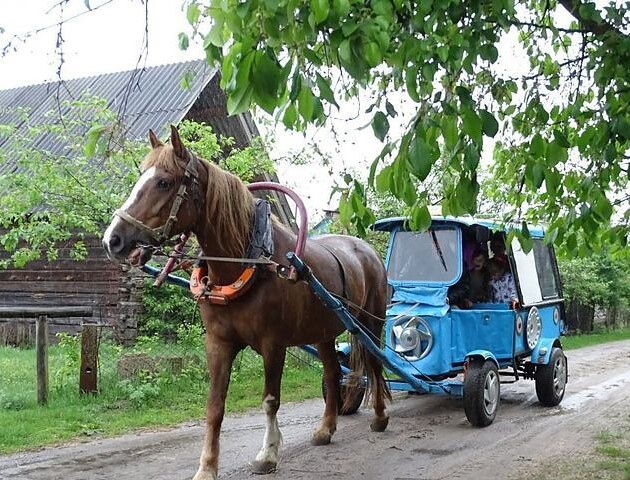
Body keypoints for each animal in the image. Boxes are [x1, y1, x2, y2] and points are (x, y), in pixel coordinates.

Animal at [103, 125, 390, 478]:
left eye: (164, 182)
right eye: (140, 175)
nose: (113, 240)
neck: (249, 261)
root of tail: (366, 249)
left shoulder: (273, 344)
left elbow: (270, 399)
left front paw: (268, 453)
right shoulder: (218, 343)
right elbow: (214, 406)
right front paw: (207, 467)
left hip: (370, 322)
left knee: (374, 364)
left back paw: (379, 416)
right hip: (323, 332)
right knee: (332, 372)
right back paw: (326, 429)